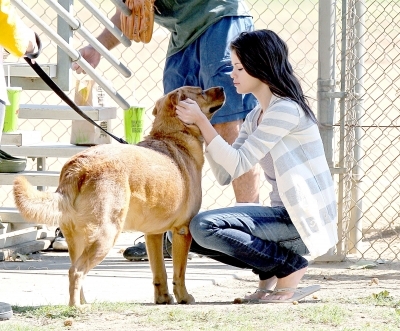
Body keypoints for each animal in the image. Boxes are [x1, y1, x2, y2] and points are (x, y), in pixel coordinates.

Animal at [12, 86, 225, 308]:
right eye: (200, 91)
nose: (222, 88)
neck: (173, 136)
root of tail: (78, 167)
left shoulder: (153, 234)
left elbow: (159, 272)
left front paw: (163, 298)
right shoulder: (182, 230)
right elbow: (179, 273)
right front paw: (183, 297)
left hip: (76, 240)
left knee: (76, 270)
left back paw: (84, 303)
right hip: (106, 234)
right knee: (76, 272)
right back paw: (76, 307)